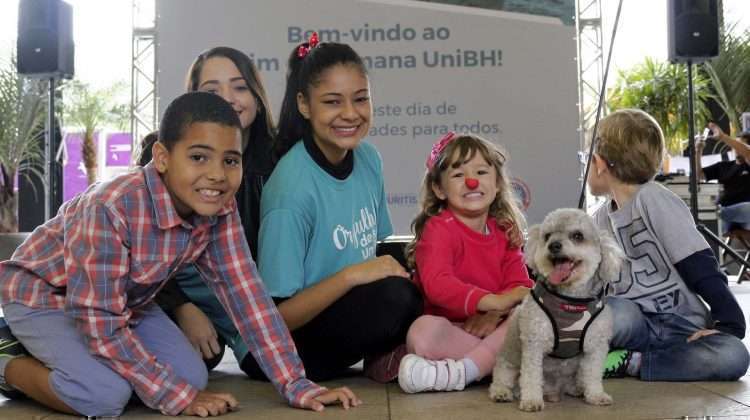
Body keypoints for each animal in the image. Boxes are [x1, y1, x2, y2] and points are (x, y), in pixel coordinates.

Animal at [488, 208, 624, 412]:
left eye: (578, 236)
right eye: (547, 236)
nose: (554, 245)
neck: (570, 300)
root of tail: (554, 390)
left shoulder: (596, 347)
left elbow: (593, 374)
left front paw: (596, 395)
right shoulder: (534, 343)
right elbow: (531, 376)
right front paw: (531, 400)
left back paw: (577, 389)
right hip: (509, 361)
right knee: (502, 378)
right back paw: (502, 393)